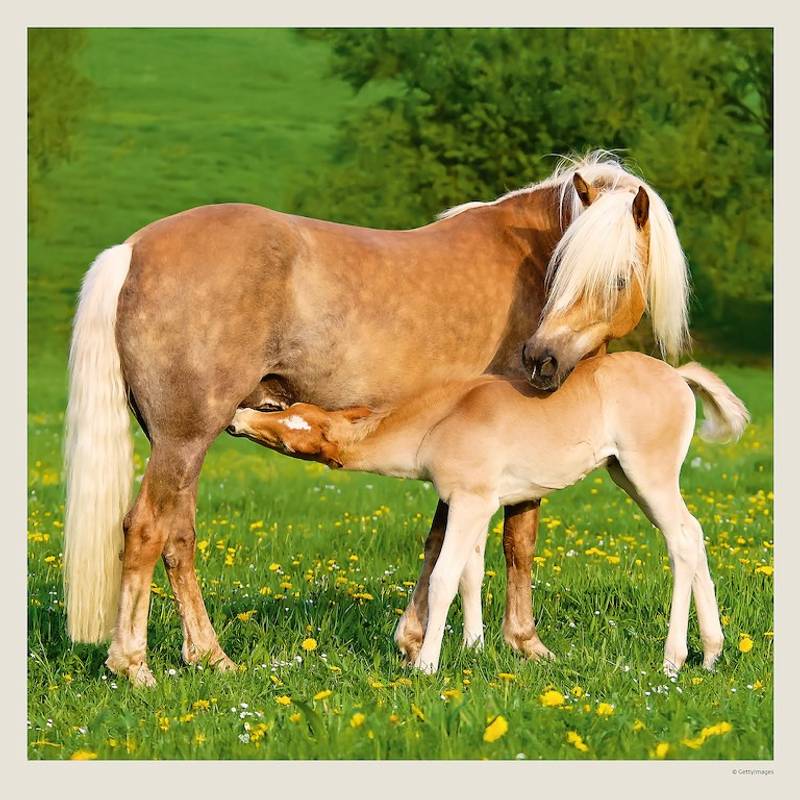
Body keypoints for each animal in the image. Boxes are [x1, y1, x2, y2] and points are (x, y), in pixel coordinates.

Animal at [63, 151, 690, 686]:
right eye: (561, 273)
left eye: (615, 279)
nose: (541, 361)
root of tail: (132, 250)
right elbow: (516, 540)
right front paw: (524, 643)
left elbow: (442, 541)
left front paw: (416, 641)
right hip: (184, 437)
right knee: (146, 529)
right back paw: (134, 664)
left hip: (182, 442)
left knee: (178, 535)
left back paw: (210, 656)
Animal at [228, 351, 748, 675]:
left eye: (294, 431)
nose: (236, 417)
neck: (442, 420)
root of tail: (677, 375)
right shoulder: (476, 505)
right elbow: (470, 574)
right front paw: (473, 648)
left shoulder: (470, 502)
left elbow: (442, 577)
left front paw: (427, 664)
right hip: (627, 476)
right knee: (694, 533)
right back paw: (711, 653)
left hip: (649, 475)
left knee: (681, 541)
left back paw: (673, 658)